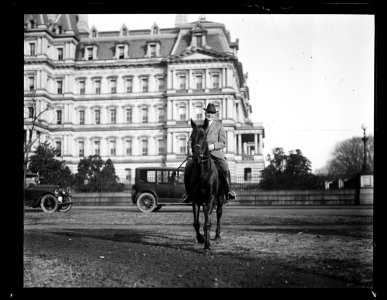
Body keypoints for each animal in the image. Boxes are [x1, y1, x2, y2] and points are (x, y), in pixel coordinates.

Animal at [189, 118, 226, 250]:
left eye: (204, 137)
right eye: (191, 136)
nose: (196, 157)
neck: (203, 174)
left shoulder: (210, 198)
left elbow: (207, 223)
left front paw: (207, 246)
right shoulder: (195, 199)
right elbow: (196, 223)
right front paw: (201, 239)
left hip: (219, 198)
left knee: (219, 214)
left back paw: (217, 235)